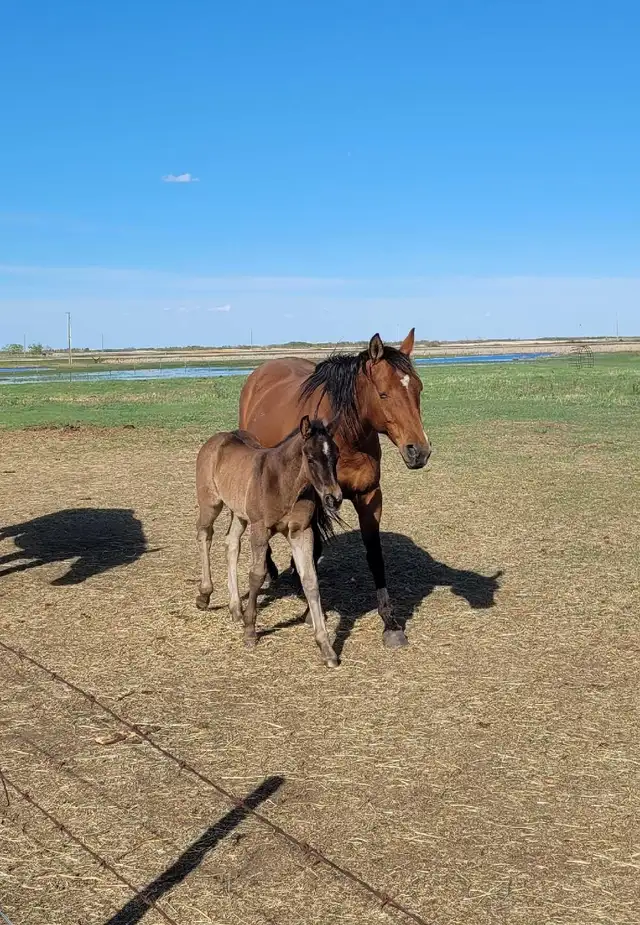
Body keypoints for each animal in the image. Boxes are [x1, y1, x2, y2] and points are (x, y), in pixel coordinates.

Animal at [195, 416, 343, 667]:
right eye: (310, 458)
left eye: (337, 455)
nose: (334, 498)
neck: (284, 483)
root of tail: (216, 439)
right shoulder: (260, 528)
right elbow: (257, 575)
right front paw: (250, 631)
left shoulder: (301, 532)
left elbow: (310, 580)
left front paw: (326, 648)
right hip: (210, 504)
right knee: (205, 534)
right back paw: (205, 595)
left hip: (240, 514)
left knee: (231, 543)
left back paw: (235, 608)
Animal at [238, 328, 431, 649]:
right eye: (383, 394)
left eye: (418, 389)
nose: (419, 451)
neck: (345, 437)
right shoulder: (315, 500)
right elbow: (314, 549)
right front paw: (309, 610)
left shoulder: (369, 497)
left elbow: (374, 555)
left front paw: (390, 623)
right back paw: (271, 569)